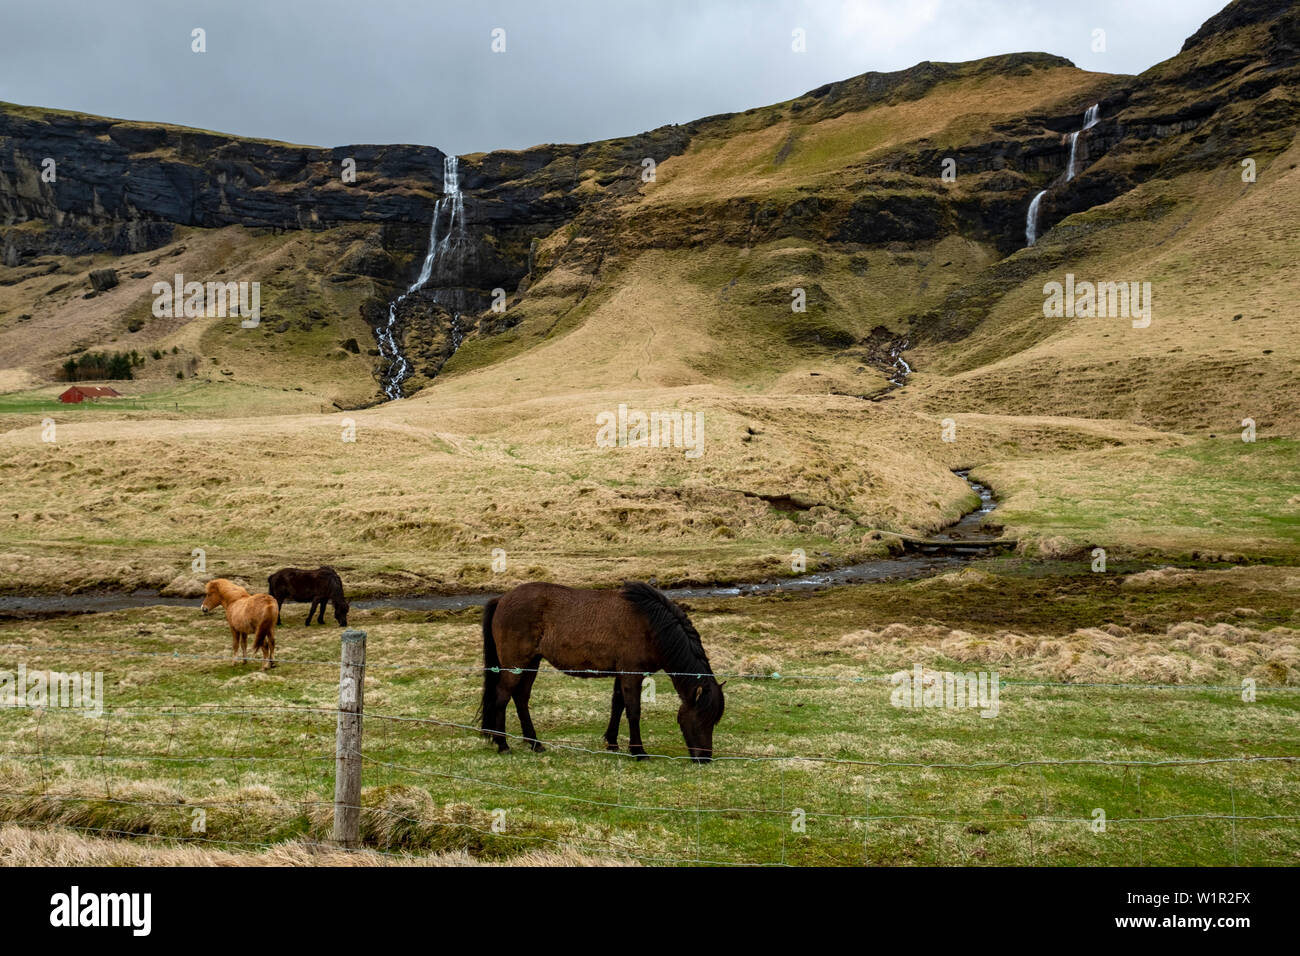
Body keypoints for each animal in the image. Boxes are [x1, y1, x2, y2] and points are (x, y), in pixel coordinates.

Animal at [480, 582, 728, 764]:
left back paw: (534, 743)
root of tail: (502, 599)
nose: (705, 759)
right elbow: (633, 711)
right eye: (701, 718)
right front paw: (639, 752)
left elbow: (617, 706)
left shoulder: (621, 674)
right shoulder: (632, 674)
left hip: (532, 663)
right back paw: (503, 744)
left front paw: (613, 743)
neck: (650, 624)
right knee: (502, 697)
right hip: (515, 664)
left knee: (521, 698)